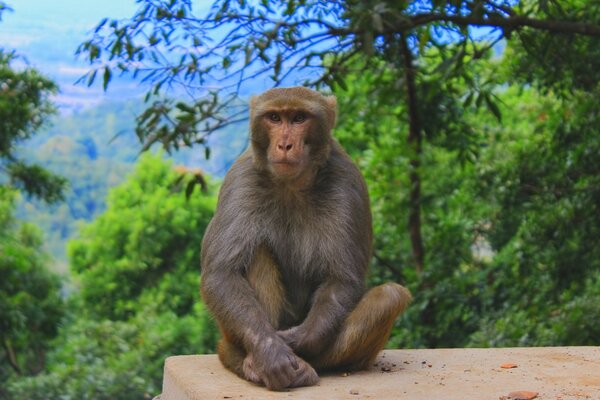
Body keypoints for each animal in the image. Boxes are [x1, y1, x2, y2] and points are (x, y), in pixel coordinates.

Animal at [202, 86, 412, 390]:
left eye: (299, 118)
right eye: (274, 118)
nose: (285, 144)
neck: (291, 184)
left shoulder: (346, 180)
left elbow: (342, 279)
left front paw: (293, 340)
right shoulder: (241, 178)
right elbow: (221, 273)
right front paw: (272, 352)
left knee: (390, 296)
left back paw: (309, 364)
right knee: (256, 252)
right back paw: (249, 362)